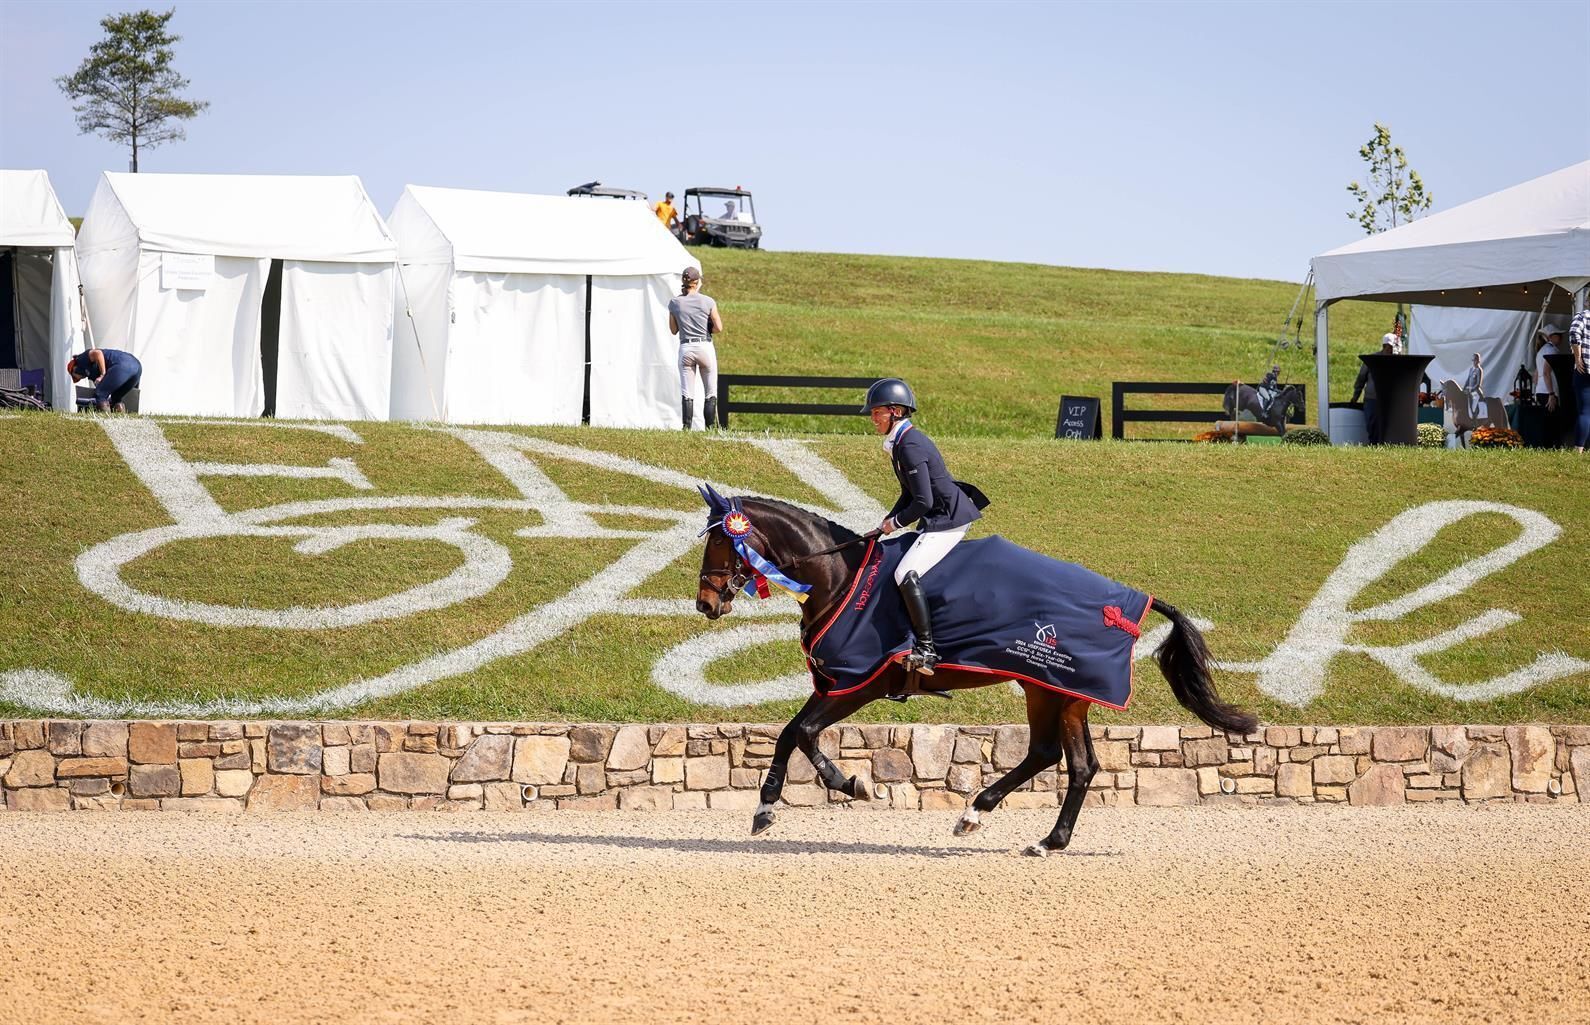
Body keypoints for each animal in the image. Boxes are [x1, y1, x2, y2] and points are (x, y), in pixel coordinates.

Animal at [694, 489, 1258, 857]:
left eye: (719, 544)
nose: (705, 604)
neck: (840, 577)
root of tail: (1126, 604)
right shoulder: (837, 682)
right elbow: (795, 733)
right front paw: (804, 795)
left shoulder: (859, 682)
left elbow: (801, 732)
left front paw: (829, 789)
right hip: (1061, 691)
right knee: (1075, 763)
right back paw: (1045, 840)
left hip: (1045, 687)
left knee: (1051, 755)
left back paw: (975, 814)